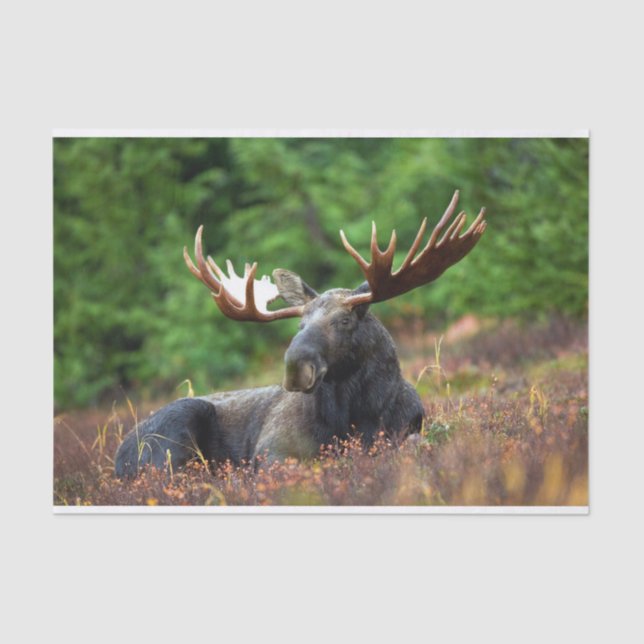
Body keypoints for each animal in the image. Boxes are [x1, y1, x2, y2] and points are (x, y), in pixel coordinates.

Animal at [114, 190, 487, 478]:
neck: (359, 416)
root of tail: (118, 457)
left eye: (345, 320)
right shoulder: (271, 449)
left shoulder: (409, 429)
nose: (295, 367)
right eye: (300, 324)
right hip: (174, 431)